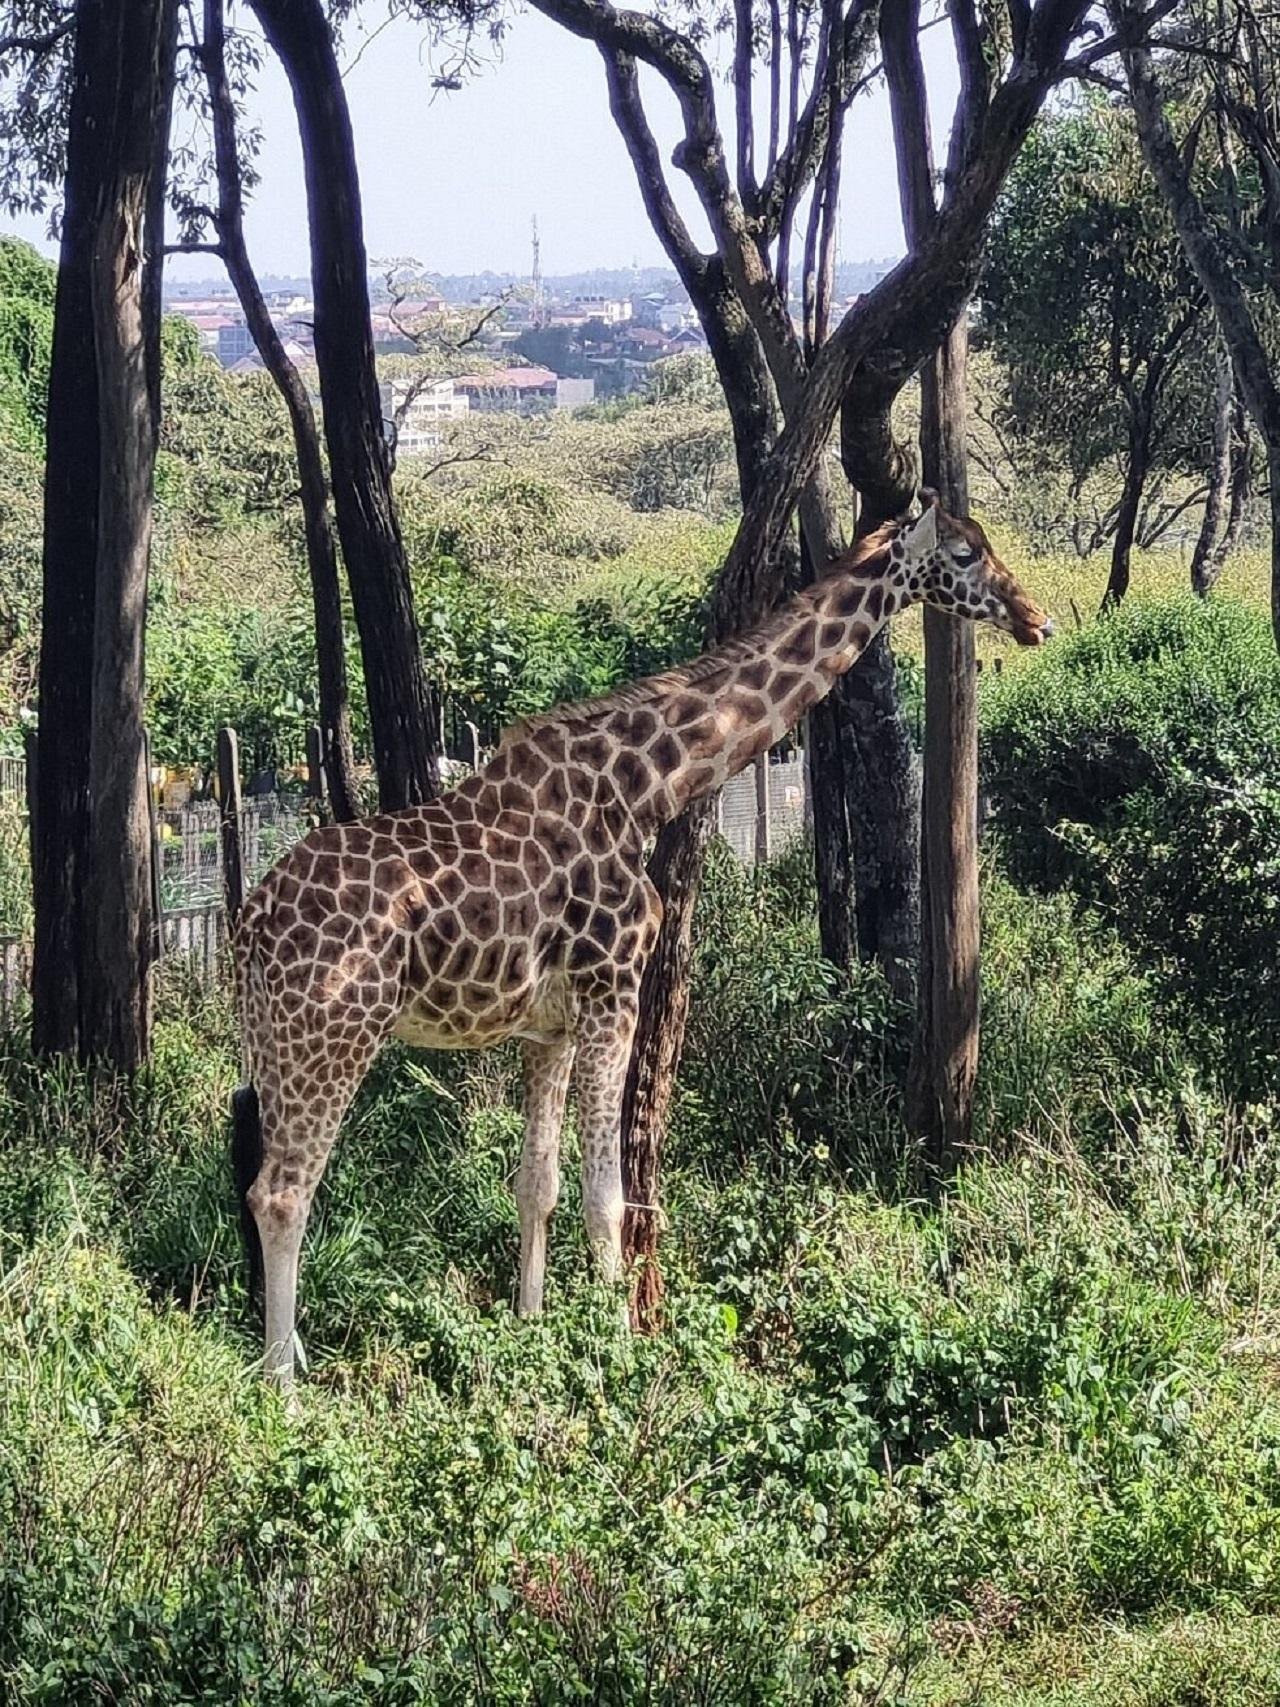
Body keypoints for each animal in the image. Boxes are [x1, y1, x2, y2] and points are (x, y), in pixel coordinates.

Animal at [231, 494, 1053, 1383]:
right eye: (966, 554)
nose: (1034, 618)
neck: (649, 785)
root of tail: (249, 924)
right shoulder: (614, 987)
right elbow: (607, 1198)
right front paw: (615, 1353)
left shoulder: (549, 1027)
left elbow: (537, 1184)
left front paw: (531, 1329)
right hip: (337, 1031)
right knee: (282, 1193)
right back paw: (281, 1387)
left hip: (275, 1045)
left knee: (261, 1183)